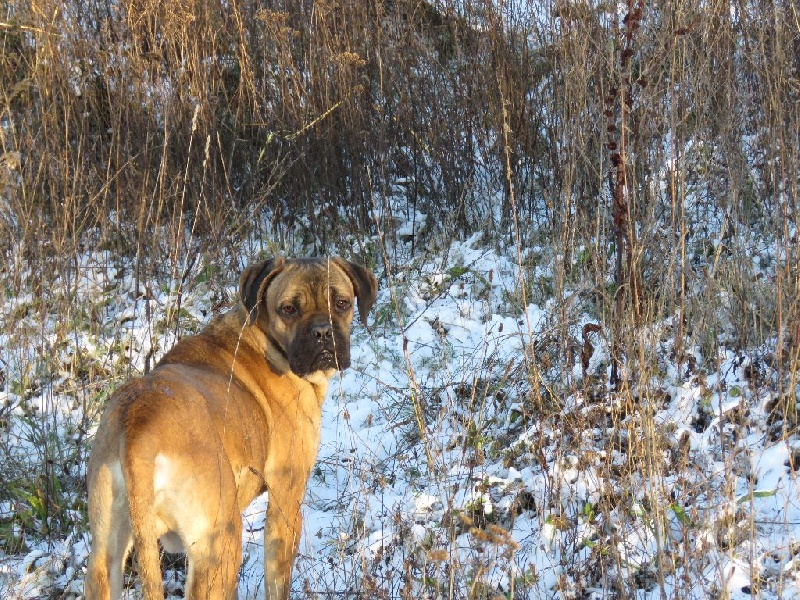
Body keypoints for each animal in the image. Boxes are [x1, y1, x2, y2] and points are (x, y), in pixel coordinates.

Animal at [84, 255, 378, 596]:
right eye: (288, 309)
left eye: (342, 303)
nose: (322, 332)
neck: (266, 340)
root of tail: (138, 425)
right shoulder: (286, 502)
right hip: (219, 549)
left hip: (105, 557)